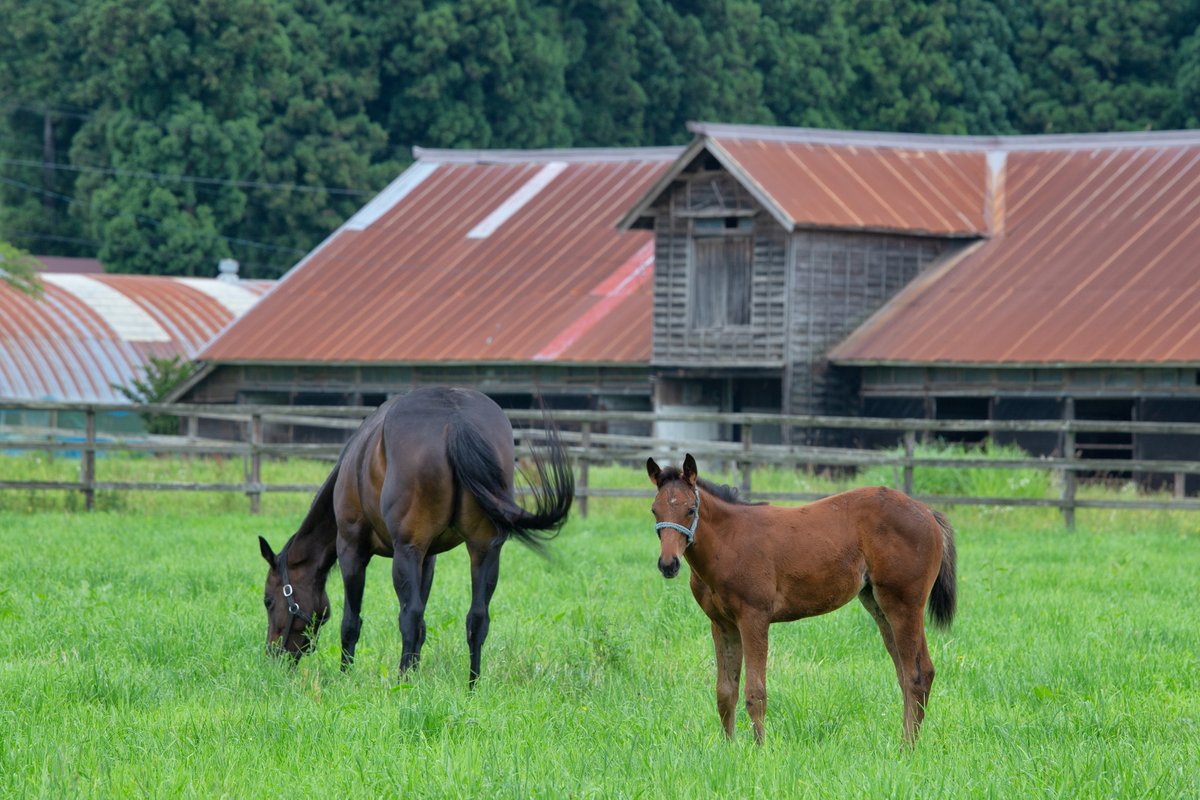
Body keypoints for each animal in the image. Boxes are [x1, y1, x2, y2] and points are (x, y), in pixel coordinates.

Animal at [258, 387, 573, 687]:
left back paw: (402, 683)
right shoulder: (428, 558)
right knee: (477, 617)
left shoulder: (352, 549)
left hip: (406, 551)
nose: (272, 656)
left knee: (409, 617)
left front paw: (346, 676)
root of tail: (457, 420)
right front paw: (415, 673)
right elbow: (424, 625)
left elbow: (351, 623)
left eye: (268, 601)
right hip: (484, 548)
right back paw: (471, 686)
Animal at [647, 454, 956, 745]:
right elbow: (725, 692)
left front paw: (760, 751)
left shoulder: (754, 618)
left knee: (916, 675)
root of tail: (927, 511)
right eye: (654, 510)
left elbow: (755, 692)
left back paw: (907, 749)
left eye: (690, 509)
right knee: (910, 674)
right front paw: (729, 749)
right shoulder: (721, 624)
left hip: (904, 605)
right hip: (879, 605)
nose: (668, 564)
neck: (729, 541)